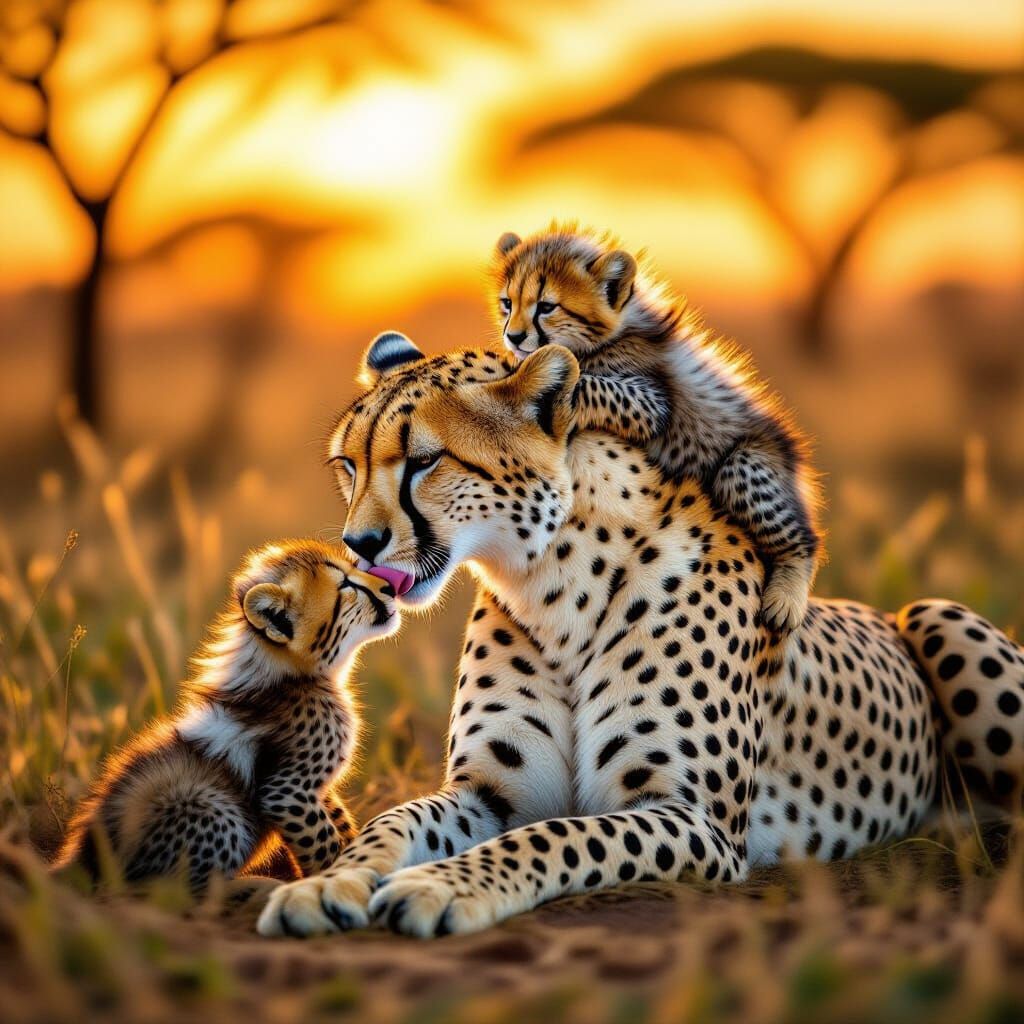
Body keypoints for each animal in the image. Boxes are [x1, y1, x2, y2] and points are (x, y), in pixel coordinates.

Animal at [54, 540, 400, 892]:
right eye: (346, 585)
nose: (391, 587)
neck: (295, 674)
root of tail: (83, 857)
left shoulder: (315, 790)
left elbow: (341, 824)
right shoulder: (285, 793)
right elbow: (324, 844)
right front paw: (341, 880)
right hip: (208, 805)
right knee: (169, 889)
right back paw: (257, 887)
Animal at [257, 335, 1022, 939]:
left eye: (424, 461)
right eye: (349, 466)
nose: (359, 545)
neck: (553, 583)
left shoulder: (694, 817)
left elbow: (553, 837)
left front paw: (442, 886)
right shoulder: (488, 791)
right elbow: (395, 821)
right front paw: (329, 883)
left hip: (935, 614)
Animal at [492, 223, 822, 635]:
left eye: (547, 307)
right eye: (507, 303)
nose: (514, 337)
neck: (611, 335)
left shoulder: (652, 404)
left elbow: (589, 383)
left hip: (745, 464)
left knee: (805, 538)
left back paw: (785, 599)